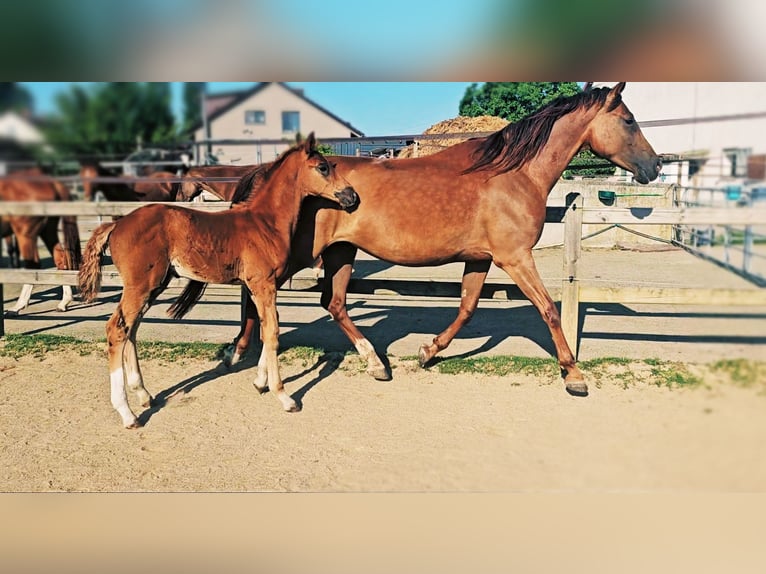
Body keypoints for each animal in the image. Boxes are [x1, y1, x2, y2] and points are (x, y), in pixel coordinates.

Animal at [0, 168, 82, 316]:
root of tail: (51, 183)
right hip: (47, 232)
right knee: (61, 260)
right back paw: (63, 303)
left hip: (25, 234)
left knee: (33, 265)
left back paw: (17, 307)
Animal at [77, 133, 359, 429]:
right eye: (323, 167)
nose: (352, 196)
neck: (265, 223)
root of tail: (116, 224)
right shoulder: (264, 285)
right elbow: (272, 333)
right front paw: (284, 396)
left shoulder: (259, 287)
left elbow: (263, 328)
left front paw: (260, 382)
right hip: (140, 285)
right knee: (117, 330)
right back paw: (127, 413)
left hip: (154, 285)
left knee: (131, 329)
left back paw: (143, 394)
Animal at [175, 82, 661, 397]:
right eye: (629, 120)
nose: (655, 166)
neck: (512, 173)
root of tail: (271, 172)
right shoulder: (515, 257)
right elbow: (548, 310)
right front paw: (573, 375)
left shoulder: (481, 258)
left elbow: (466, 309)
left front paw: (429, 352)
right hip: (303, 252)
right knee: (258, 294)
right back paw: (242, 357)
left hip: (340, 252)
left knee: (332, 303)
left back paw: (373, 363)